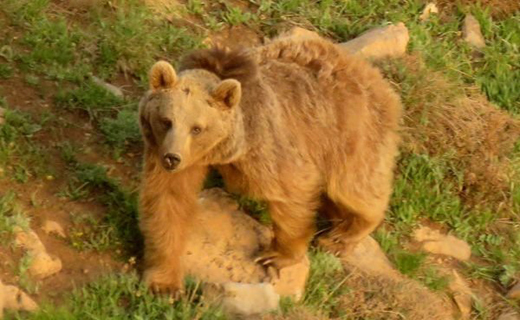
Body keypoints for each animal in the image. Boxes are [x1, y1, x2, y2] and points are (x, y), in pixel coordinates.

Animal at [138, 30, 402, 296]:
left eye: (197, 128)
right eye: (166, 120)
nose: (172, 158)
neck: (226, 149)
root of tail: (376, 78)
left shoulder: (268, 145)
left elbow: (293, 191)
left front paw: (275, 255)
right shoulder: (167, 152)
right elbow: (168, 201)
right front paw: (164, 283)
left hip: (350, 134)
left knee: (355, 187)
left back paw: (343, 235)